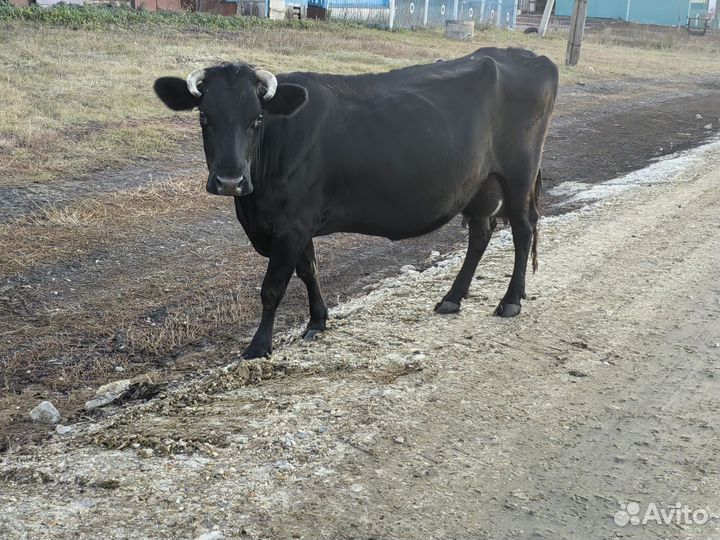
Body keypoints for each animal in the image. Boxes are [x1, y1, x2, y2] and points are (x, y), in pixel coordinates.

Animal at [154, 47, 559, 359]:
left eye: (256, 119)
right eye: (204, 117)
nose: (229, 180)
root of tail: (529, 56)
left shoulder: (291, 223)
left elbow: (273, 287)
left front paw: (258, 346)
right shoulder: (297, 223)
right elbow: (309, 270)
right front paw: (318, 321)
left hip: (518, 176)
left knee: (523, 230)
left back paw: (511, 301)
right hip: (479, 185)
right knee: (481, 234)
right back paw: (453, 298)